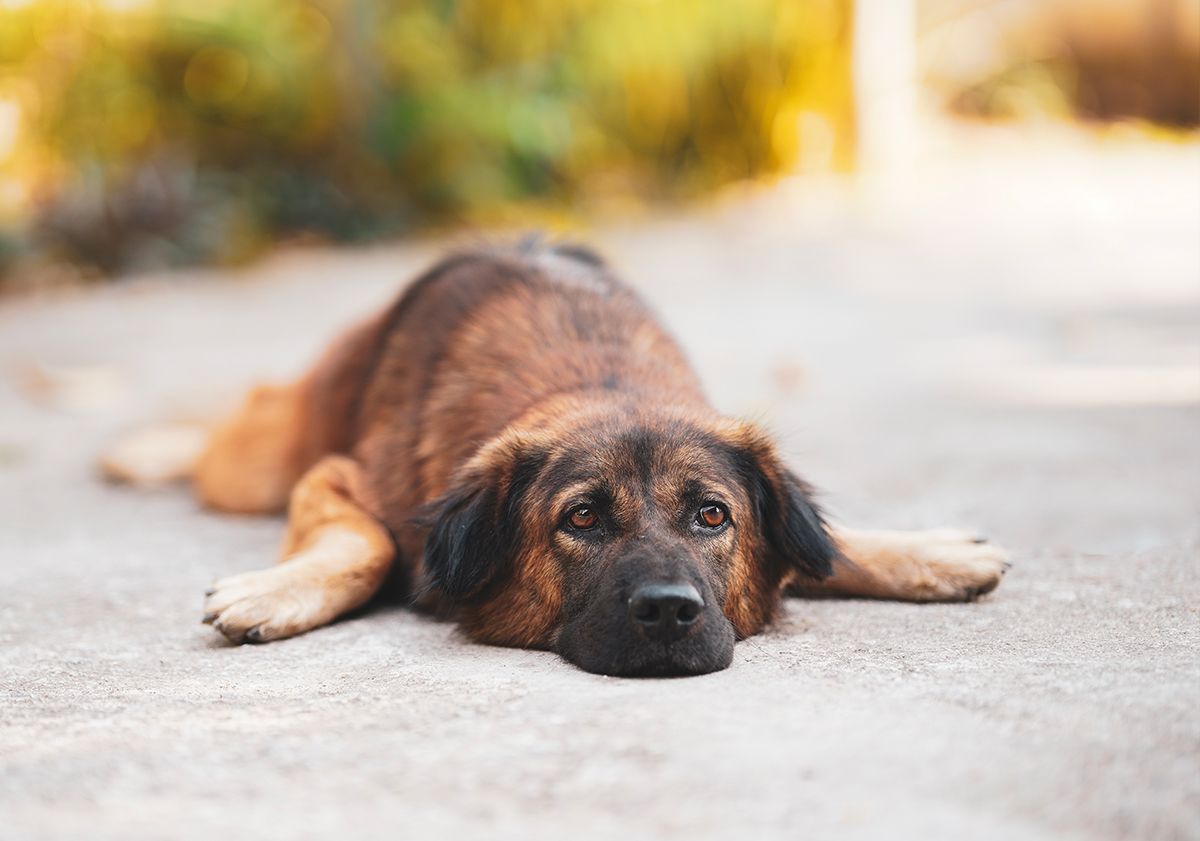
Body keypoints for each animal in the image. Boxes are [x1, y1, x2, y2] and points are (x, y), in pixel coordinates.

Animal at [103, 241, 1008, 676]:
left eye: (712, 514)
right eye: (581, 518)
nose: (669, 612)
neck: (597, 381)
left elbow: (825, 542)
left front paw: (927, 553)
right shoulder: (339, 476)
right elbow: (369, 543)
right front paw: (278, 591)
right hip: (264, 453)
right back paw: (142, 448)